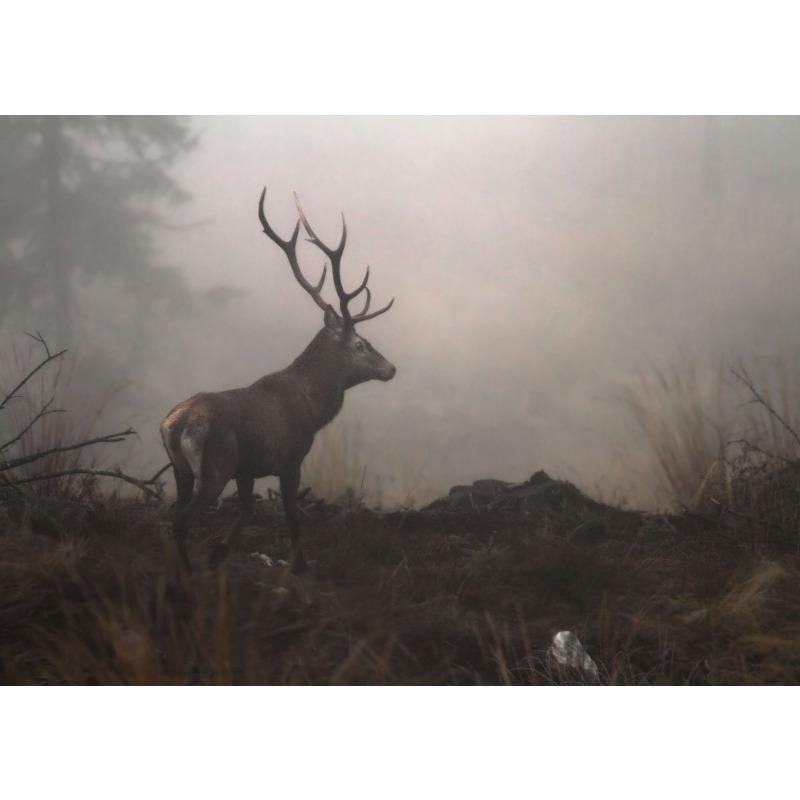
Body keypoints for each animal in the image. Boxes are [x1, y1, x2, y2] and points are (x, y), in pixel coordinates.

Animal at [159, 188, 396, 573]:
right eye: (361, 344)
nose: (390, 368)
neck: (315, 408)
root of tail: (174, 424)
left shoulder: (247, 469)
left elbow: (247, 510)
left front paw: (220, 551)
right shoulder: (290, 458)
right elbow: (291, 514)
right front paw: (300, 564)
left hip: (181, 469)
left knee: (175, 512)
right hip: (214, 466)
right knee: (181, 519)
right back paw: (189, 572)